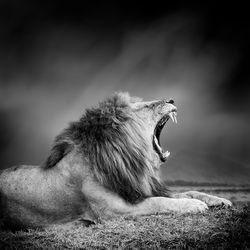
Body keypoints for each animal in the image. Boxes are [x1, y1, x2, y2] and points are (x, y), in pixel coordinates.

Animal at [0, 92, 231, 229]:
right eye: (145, 107)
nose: (172, 101)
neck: (128, 160)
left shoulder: (137, 190)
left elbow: (188, 191)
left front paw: (218, 200)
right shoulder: (114, 210)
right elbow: (160, 201)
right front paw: (195, 205)